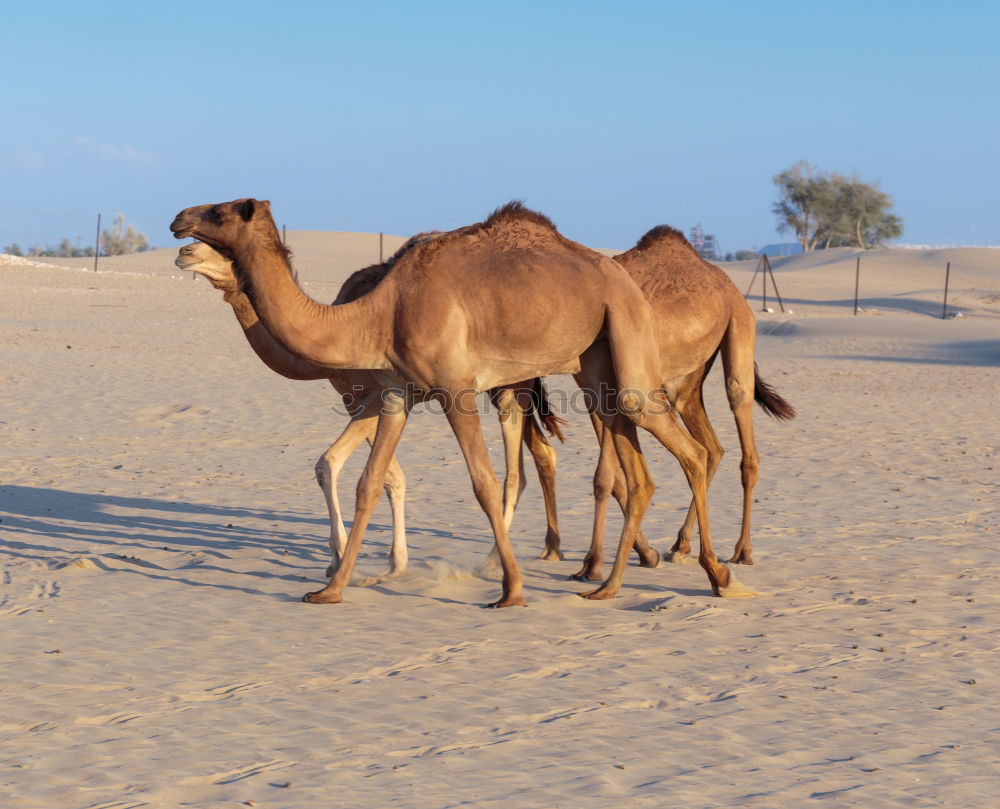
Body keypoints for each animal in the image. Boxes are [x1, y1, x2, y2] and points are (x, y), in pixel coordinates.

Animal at [173, 237, 572, 576]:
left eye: (224, 250)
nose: (185, 252)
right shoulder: (357, 400)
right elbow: (391, 476)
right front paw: (391, 560)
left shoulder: (376, 395)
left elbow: (329, 463)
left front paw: (341, 557)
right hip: (509, 384)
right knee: (542, 451)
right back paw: (549, 549)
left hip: (509, 386)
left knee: (516, 470)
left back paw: (494, 560)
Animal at [572, 226, 796, 580]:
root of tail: (728, 286)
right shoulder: (591, 390)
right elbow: (611, 477)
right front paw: (627, 556)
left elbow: (605, 476)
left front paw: (594, 563)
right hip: (685, 381)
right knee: (710, 448)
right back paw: (681, 545)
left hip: (739, 329)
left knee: (742, 430)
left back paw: (741, 551)